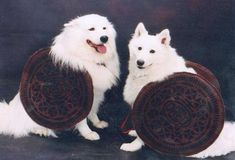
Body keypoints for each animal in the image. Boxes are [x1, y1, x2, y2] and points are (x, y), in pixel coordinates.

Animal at [120, 22, 235, 158]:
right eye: (139, 48)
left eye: (152, 51)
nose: (140, 62)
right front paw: (134, 133)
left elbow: (143, 132)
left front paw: (134, 145)